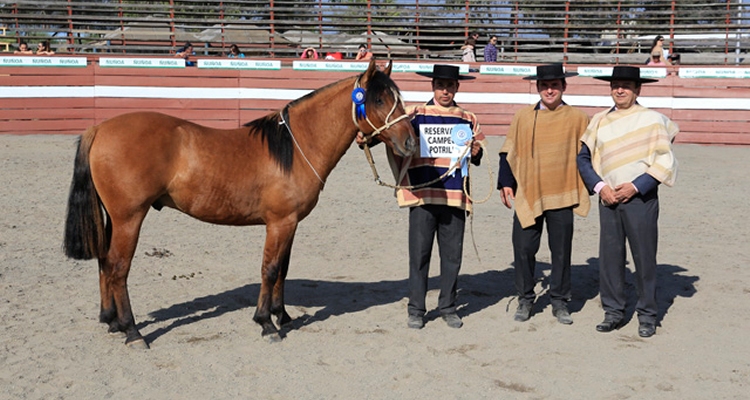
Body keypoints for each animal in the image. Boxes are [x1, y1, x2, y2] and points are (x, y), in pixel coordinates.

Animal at [64, 58, 418, 346]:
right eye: (378, 99)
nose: (410, 143)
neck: (296, 148)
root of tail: (100, 128)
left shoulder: (290, 224)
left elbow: (283, 269)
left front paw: (282, 315)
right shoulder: (279, 223)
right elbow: (270, 269)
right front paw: (266, 324)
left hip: (114, 219)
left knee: (104, 262)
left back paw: (110, 321)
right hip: (129, 218)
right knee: (118, 267)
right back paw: (132, 331)